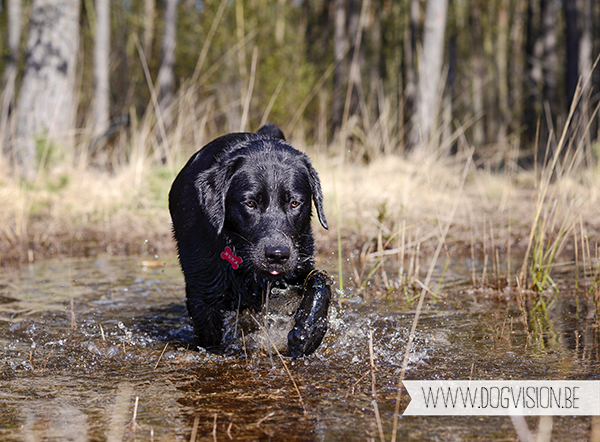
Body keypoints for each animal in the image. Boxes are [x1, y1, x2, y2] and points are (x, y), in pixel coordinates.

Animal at [169, 125, 330, 360]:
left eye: (294, 203)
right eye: (250, 203)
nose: (277, 255)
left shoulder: (299, 263)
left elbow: (320, 280)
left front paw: (307, 333)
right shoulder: (202, 293)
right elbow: (209, 337)